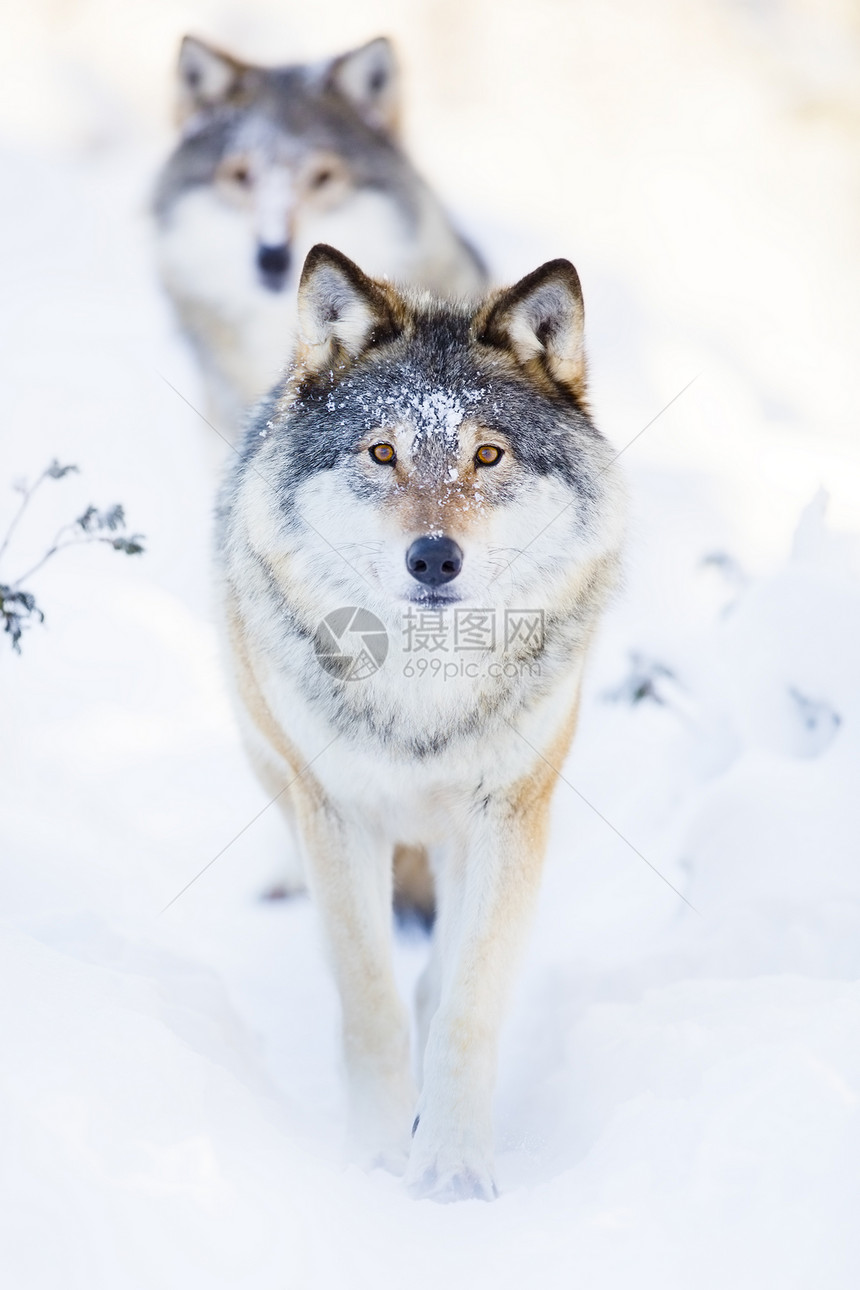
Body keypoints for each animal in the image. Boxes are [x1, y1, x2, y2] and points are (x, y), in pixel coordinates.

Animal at [216, 243, 626, 1197]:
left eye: (487, 454)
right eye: (382, 452)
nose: (434, 557)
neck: (423, 689)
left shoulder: (509, 815)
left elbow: (464, 1001)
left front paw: (449, 1172)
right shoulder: (337, 816)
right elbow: (368, 1000)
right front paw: (373, 1158)